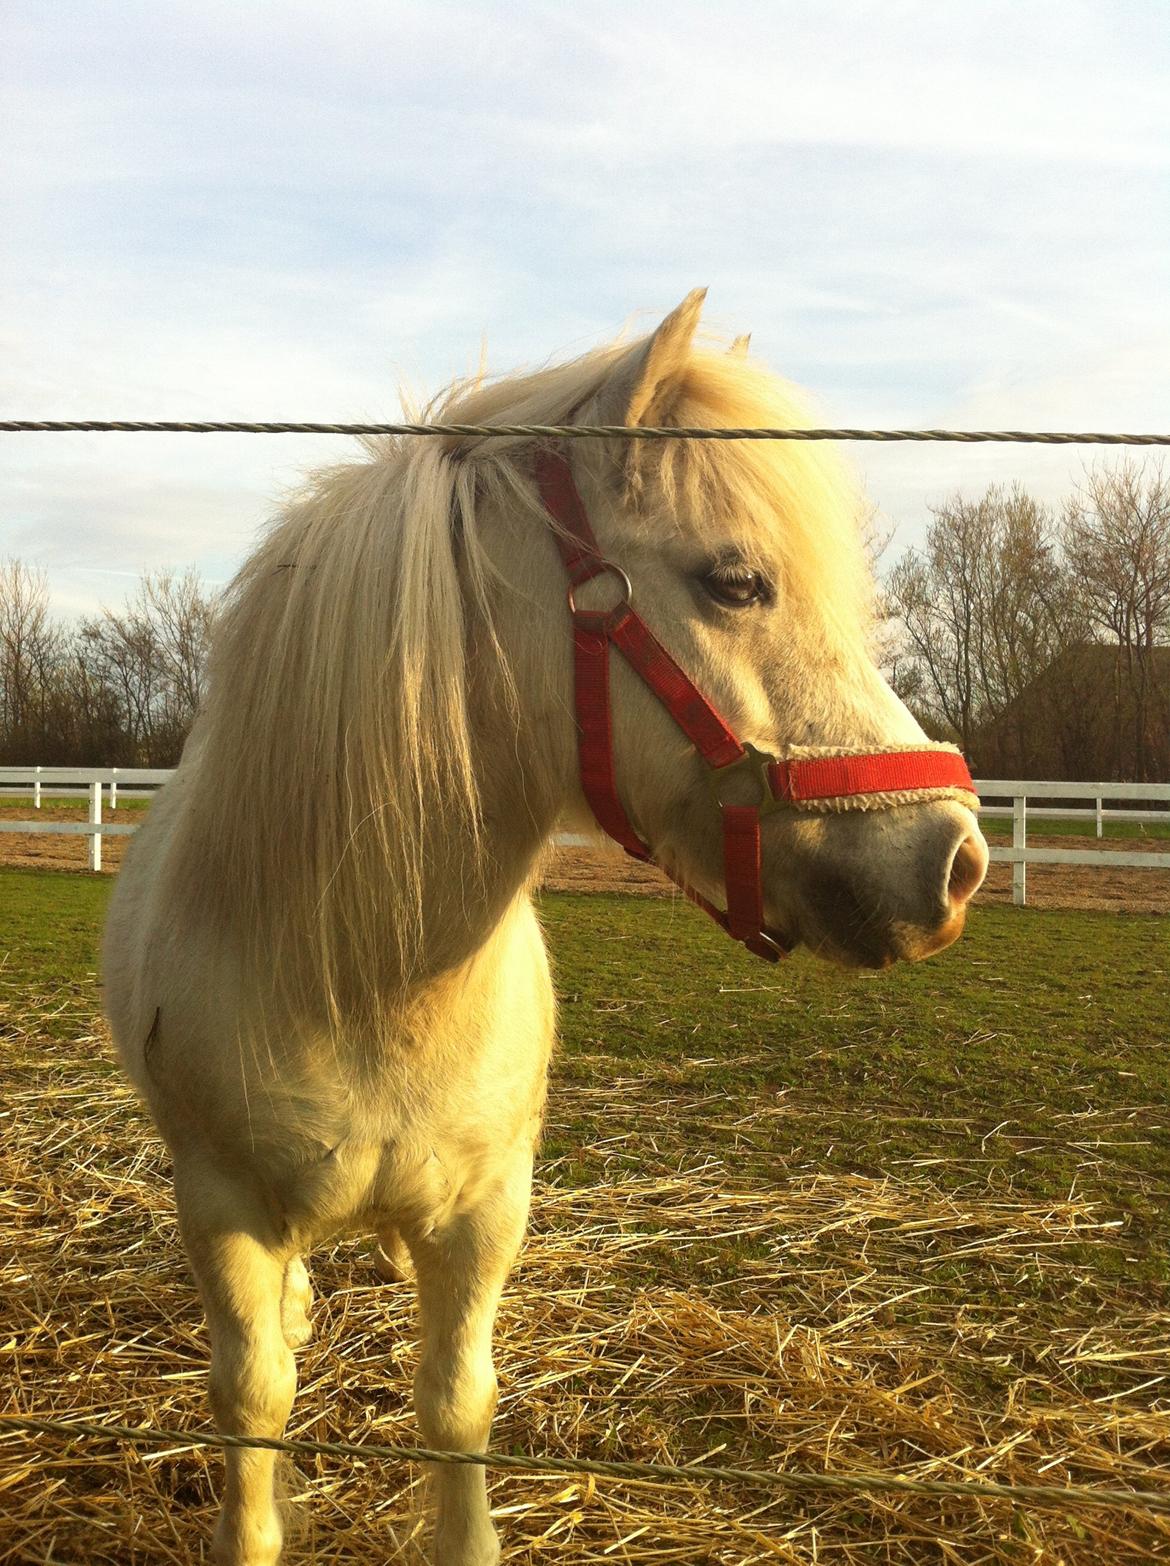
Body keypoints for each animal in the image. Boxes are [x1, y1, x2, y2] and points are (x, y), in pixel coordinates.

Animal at [102, 295, 989, 1566]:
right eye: (735, 581)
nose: (957, 861)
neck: (369, 977)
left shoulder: (487, 1211)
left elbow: (455, 1399)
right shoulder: (221, 1206)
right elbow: (254, 1400)